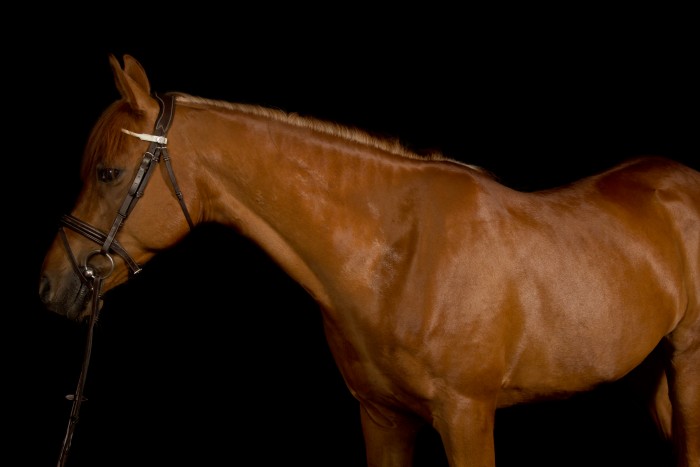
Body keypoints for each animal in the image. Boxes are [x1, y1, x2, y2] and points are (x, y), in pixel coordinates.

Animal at [38, 54, 699, 467]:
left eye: (109, 172)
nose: (50, 285)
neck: (397, 257)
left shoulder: (467, 417)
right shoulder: (382, 420)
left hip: (686, 360)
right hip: (646, 371)